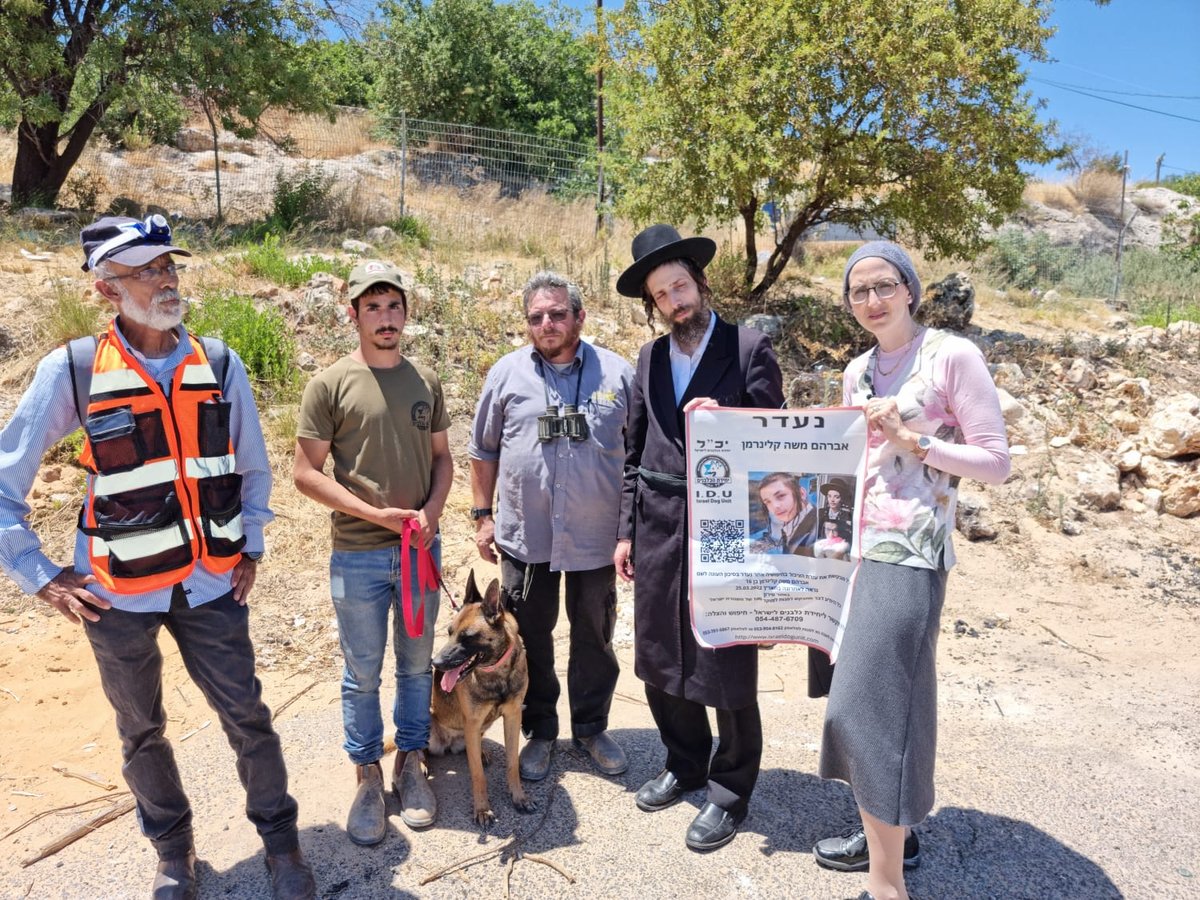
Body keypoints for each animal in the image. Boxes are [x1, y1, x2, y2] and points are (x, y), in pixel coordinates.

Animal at [427, 571, 530, 825]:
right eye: (449, 632)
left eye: (467, 638)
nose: (435, 663)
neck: (496, 672)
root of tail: (450, 743)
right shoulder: (472, 723)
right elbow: (477, 775)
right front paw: (482, 809)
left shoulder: (513, 717)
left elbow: (512, 763)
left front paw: (519, 796)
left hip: (482, 727)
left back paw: (481, 752)